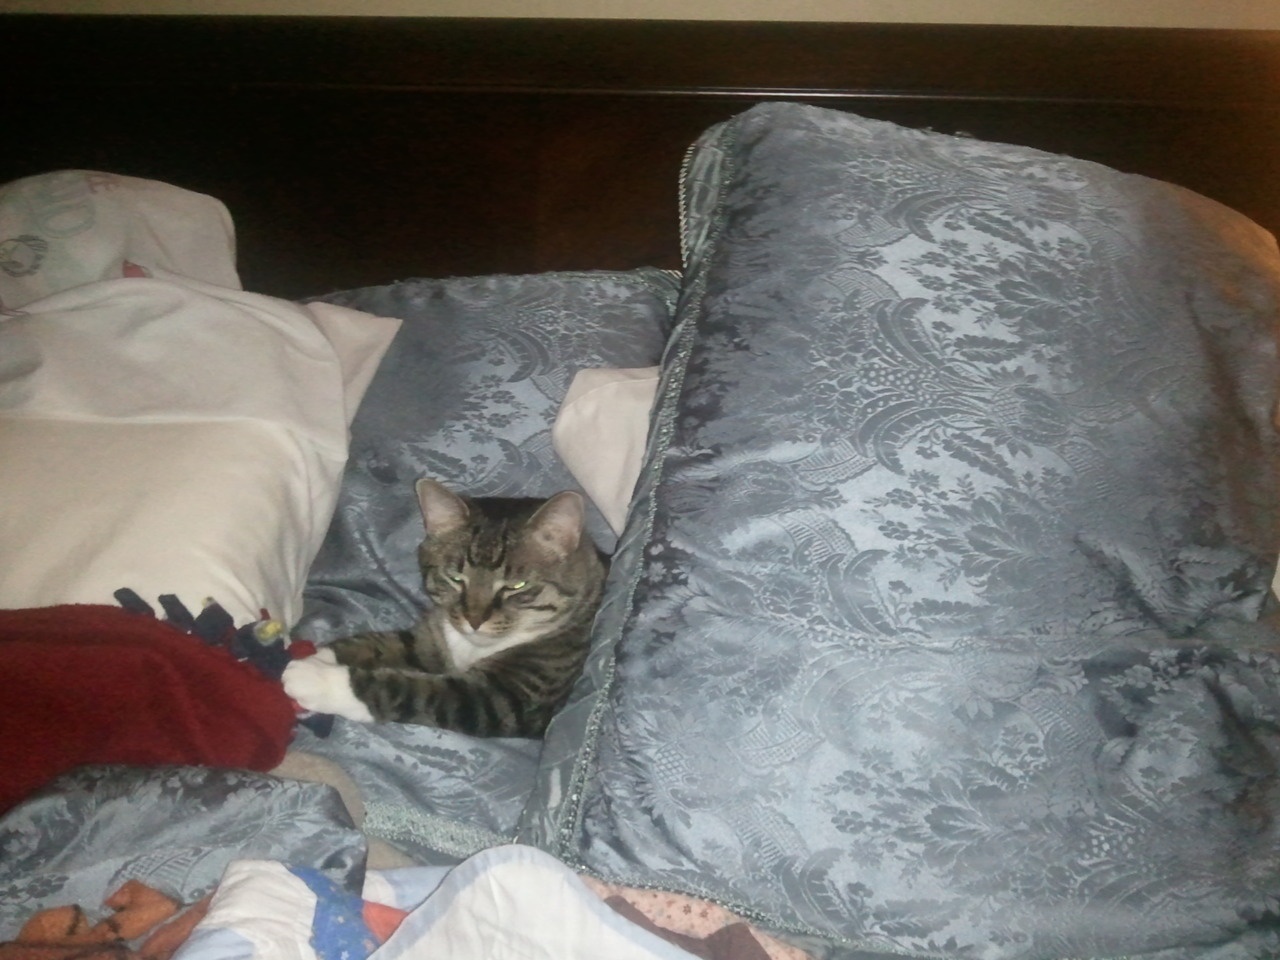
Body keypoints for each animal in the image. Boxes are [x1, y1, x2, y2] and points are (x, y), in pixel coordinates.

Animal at [282, 477, 608, 738]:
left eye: (517, 586)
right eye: (455, 578)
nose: (474, 620)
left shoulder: (511, 697)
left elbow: (415, 690)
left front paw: (316, 678)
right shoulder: (430, 640)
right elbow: (384, 644)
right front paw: (315, 655)